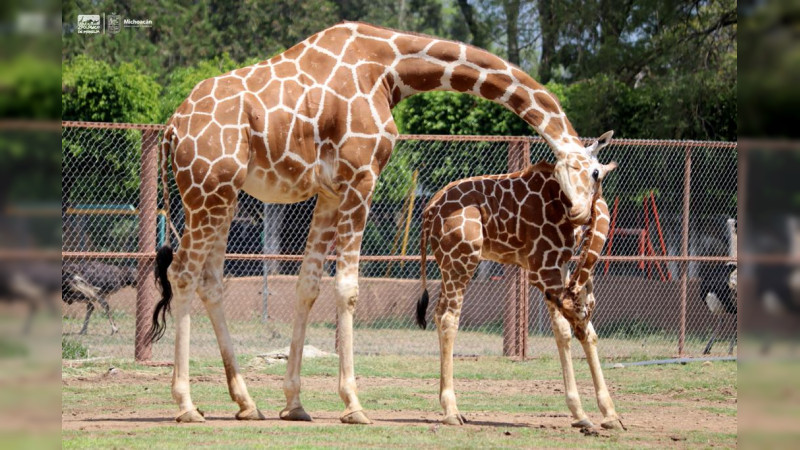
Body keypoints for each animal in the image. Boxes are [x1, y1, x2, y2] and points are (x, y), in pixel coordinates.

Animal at [416, 139, 620, 430]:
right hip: (462, 259)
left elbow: (575, 331)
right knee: (448, 318)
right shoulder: (544, 269)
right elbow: (569, 330)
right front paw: (583, 413)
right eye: (594, 173)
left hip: (448, 263)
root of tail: (429, 209)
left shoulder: (561, 267)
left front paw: (608, 415)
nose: (582, 209)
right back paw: (452, 411)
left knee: (437, 312)